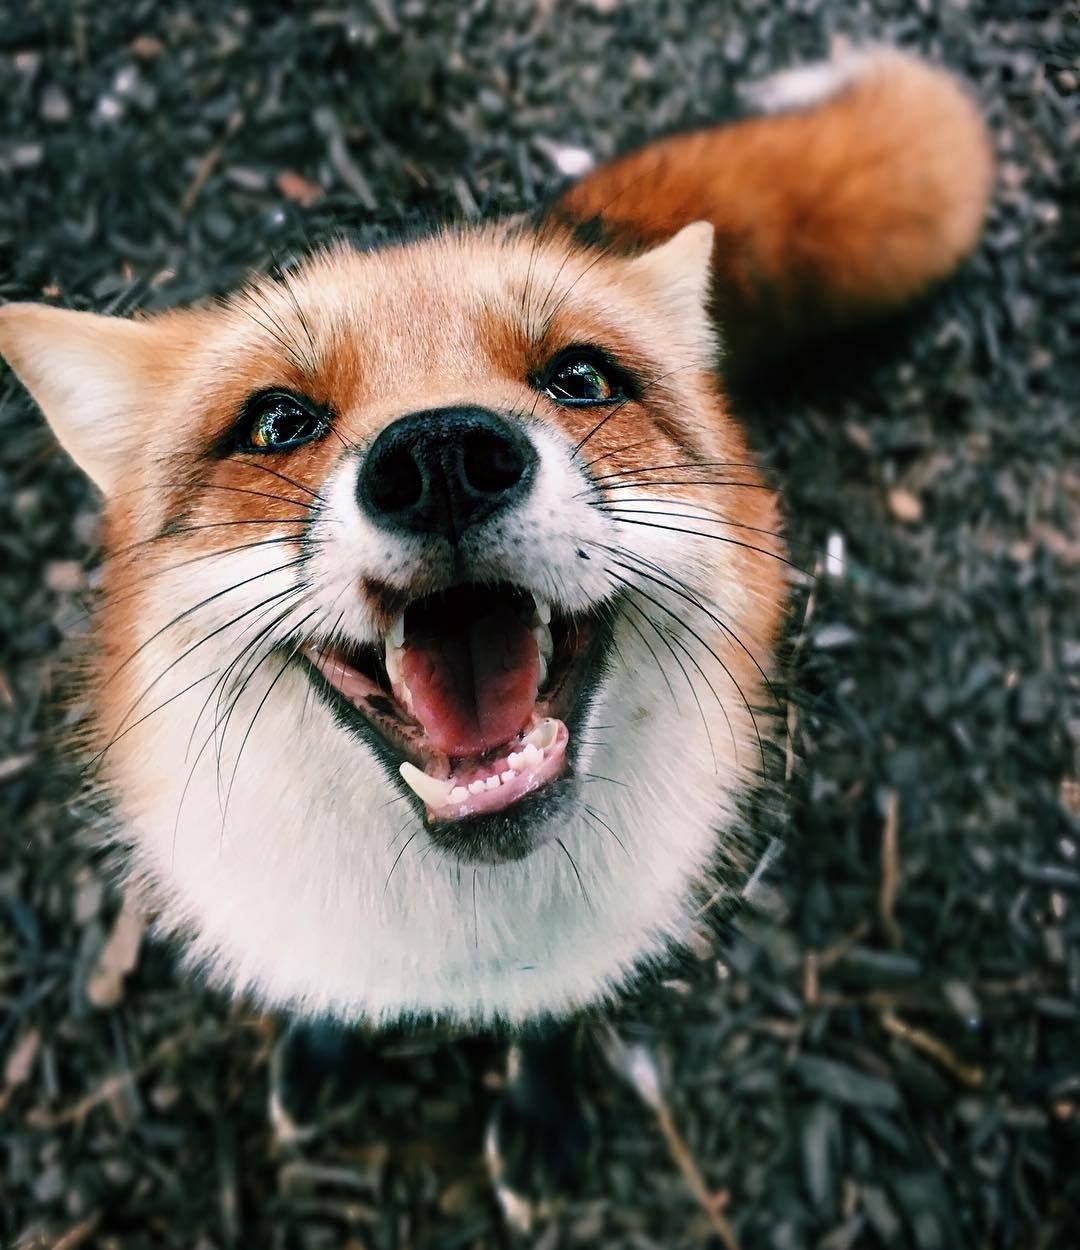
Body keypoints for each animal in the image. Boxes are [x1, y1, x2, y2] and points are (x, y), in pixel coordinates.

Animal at [0, 46, 991, 1217]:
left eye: (580, 377)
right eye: (277, 422)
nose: (441, 459)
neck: (463, 940)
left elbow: (549, 1030)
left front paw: (539, 1114)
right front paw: (323, 1048)